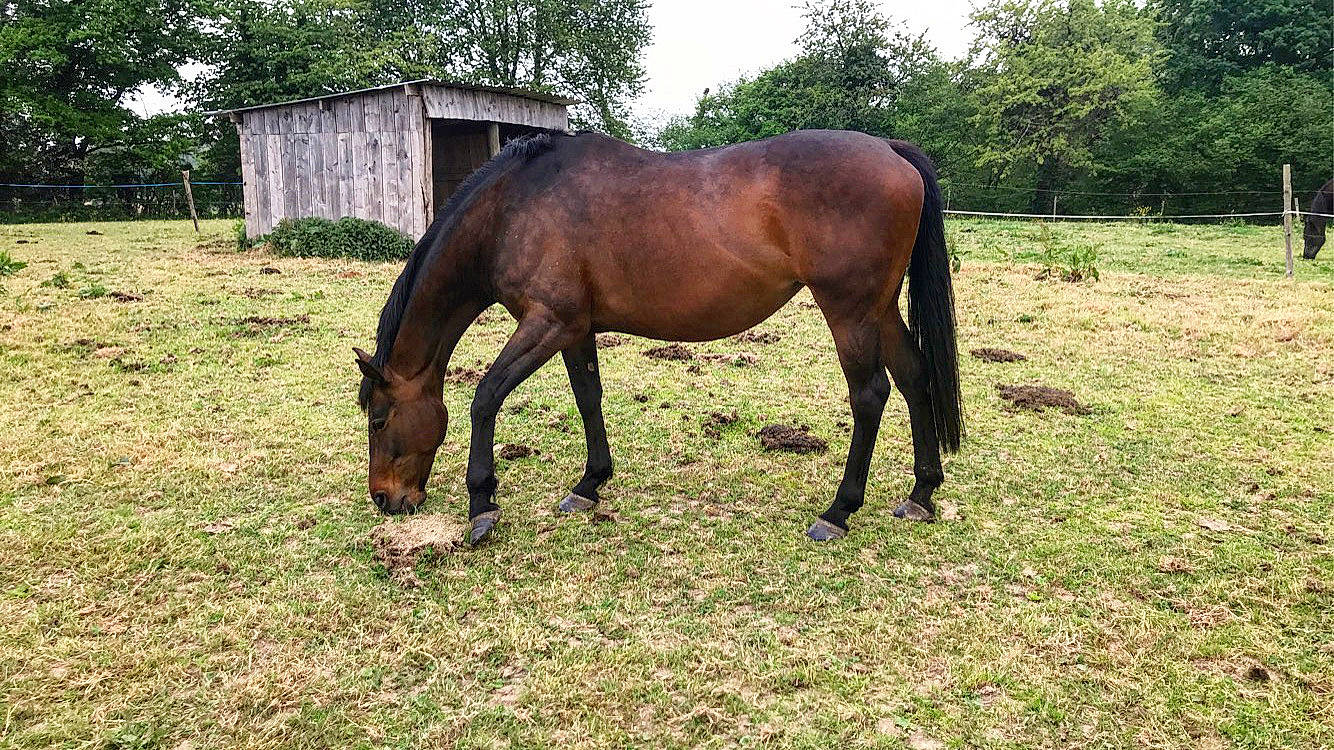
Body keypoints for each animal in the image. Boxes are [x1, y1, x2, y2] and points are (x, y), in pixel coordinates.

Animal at [354, 129, 964, 545]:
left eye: (379, 419)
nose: (386, 499)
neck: (514, 207)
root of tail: (890, 150)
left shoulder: (546, 322)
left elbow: (485, 397)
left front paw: (482, 502)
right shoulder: (575, 328)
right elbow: (588, 397)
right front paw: (589, 484)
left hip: (850, 311)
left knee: (870, 396)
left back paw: (838, 511)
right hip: (880, 310)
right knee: (914, 379)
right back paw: (921, 494)